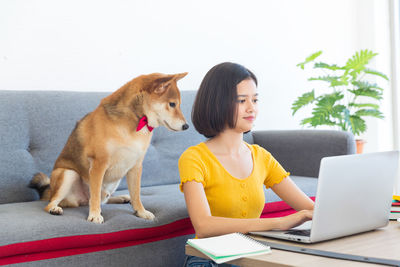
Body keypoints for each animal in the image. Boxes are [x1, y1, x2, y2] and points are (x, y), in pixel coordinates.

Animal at [29, 73, 189, 224]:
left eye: (179, 104)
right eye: (172, 104)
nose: (187, 126)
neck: (137, 120)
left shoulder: (135, 166)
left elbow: (136, 194)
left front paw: (141, 212)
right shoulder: (99, 164)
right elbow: (94, 196)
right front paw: (94, 215)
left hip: (115, 179)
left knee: (103, 199)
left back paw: (122, 198)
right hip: (68, 174)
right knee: (54, 203)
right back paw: (55, 209)